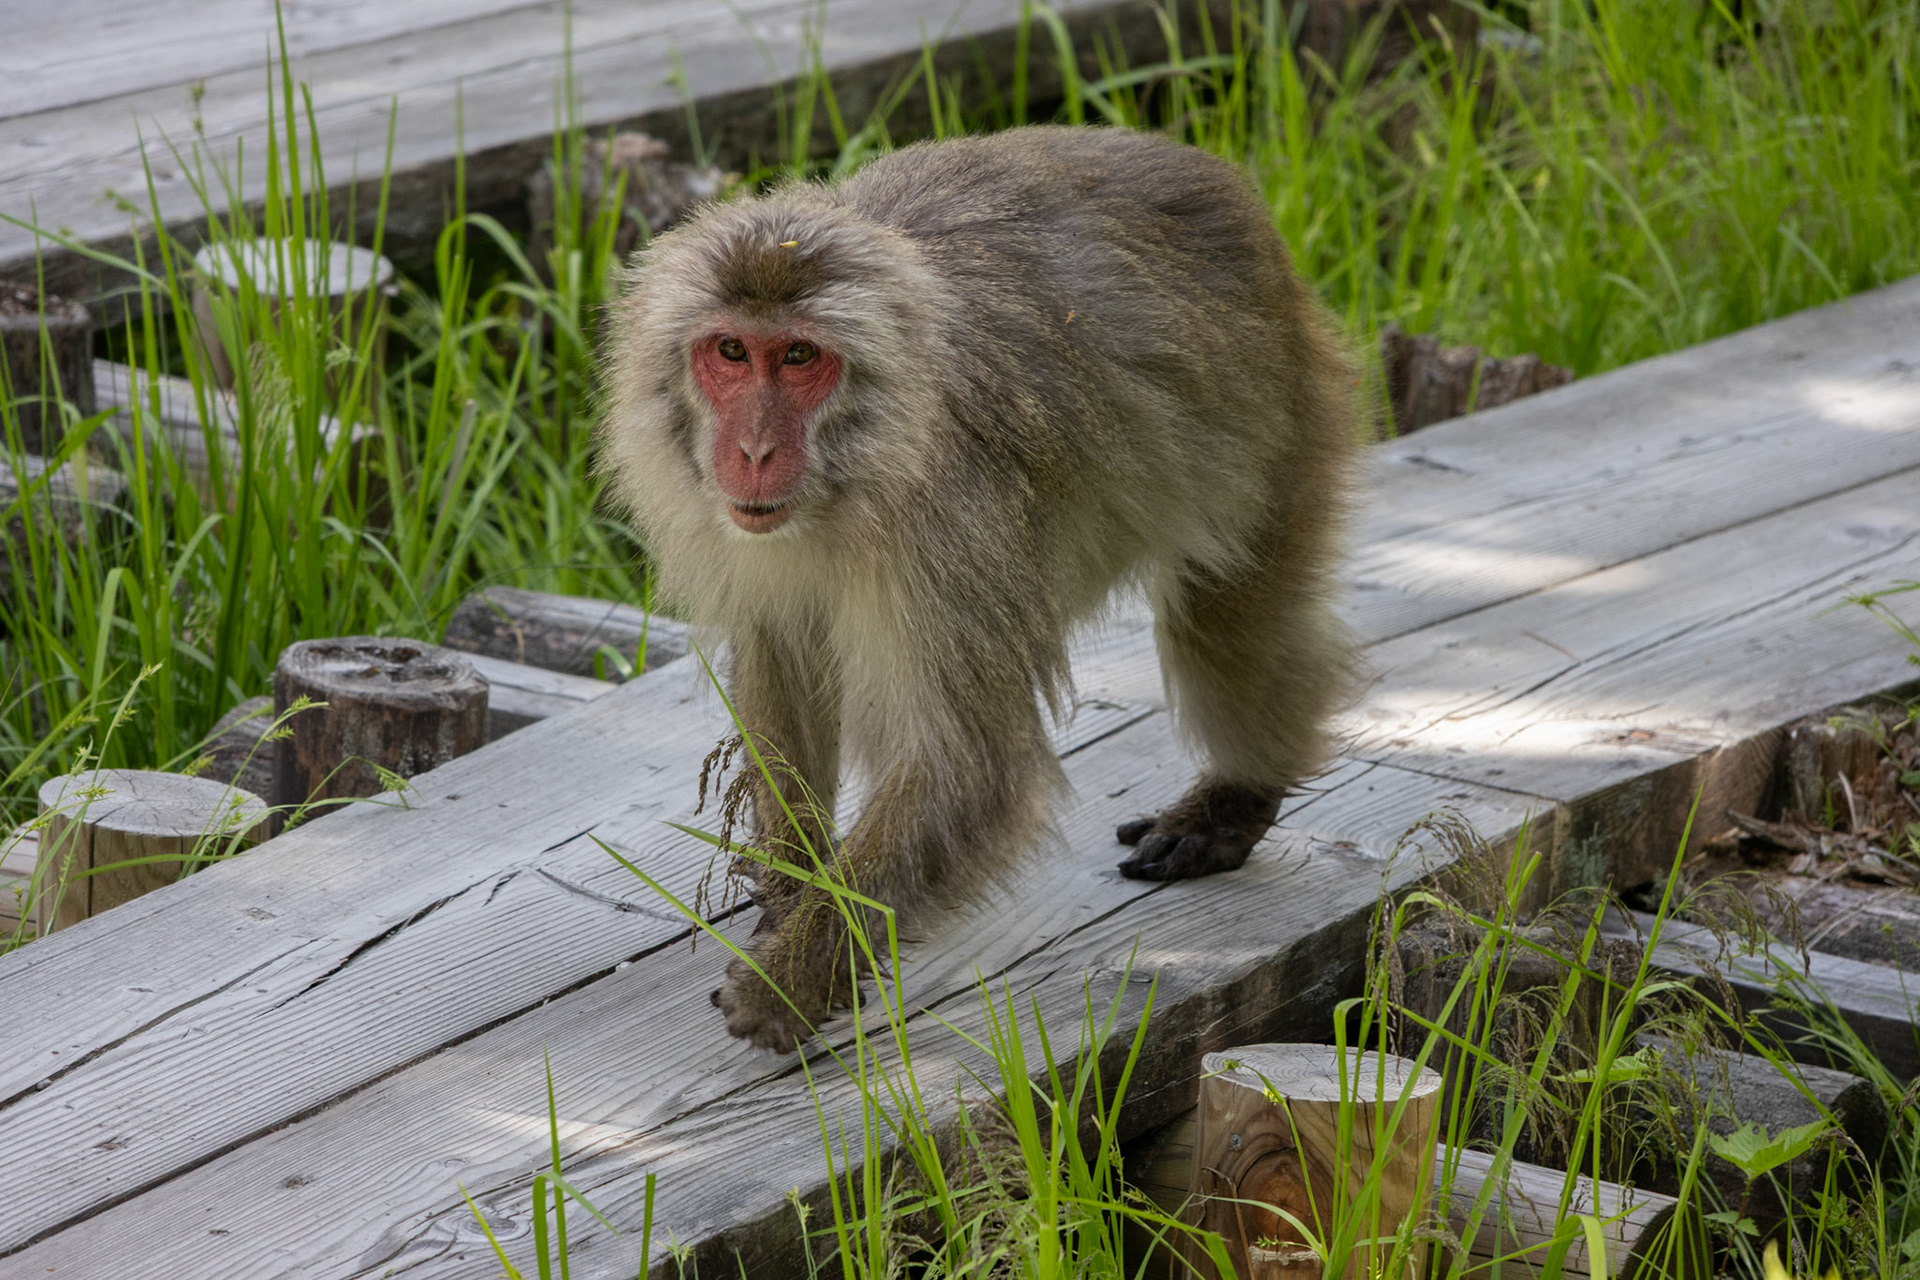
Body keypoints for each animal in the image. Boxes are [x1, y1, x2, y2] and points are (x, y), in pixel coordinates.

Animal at [599, 124, 1357, 1053]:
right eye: (732, 353)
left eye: (800, 357)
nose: (750, 452)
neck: (852, 477)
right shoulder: (752, 533)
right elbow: (784, 656)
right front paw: (792, 894)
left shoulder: (952, 521)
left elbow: (968, 767)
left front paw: (793, 980)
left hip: (1276, 407)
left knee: (1230, 613)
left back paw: (1233, 802)